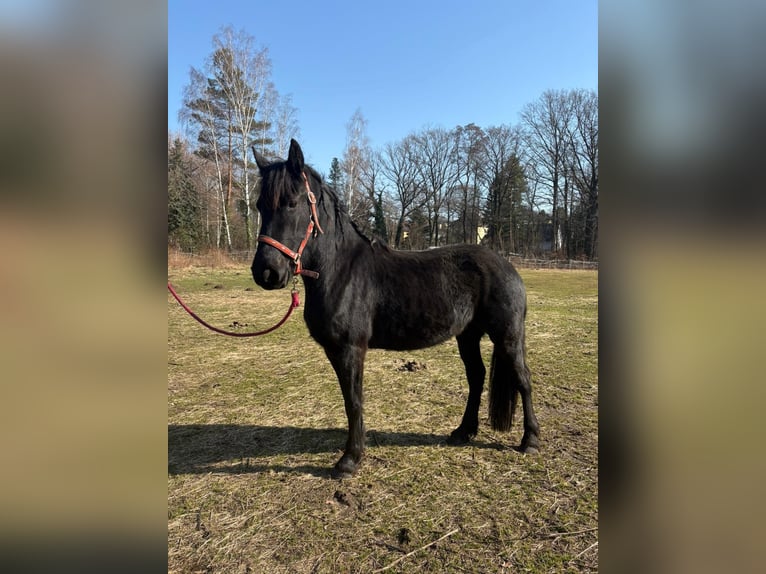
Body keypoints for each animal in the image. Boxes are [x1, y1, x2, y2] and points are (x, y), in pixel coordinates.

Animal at [251, 139, 540, 479]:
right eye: (259, 206)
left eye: (292, 203)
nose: (266, 272)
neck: (341, 270)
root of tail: (508, 267)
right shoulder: (335, 350)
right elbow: (349, 400)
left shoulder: (350, 349)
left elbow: (354, 401)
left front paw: (349, 460)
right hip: (467, 335)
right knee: (476, 376)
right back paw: (463, 431)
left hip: (508, 335)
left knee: (523, 378)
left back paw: (530, 440)